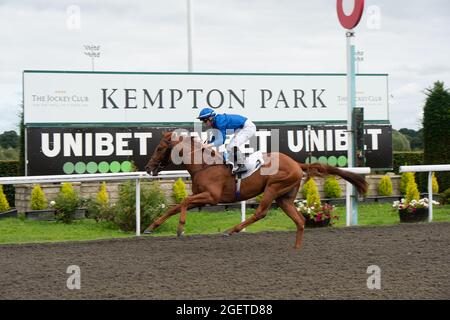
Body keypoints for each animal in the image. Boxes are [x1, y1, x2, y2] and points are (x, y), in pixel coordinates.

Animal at [146, 131, 368, 249]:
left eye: (159, 148)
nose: (148, 168)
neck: (204, 165)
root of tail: (296, 163)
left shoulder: (211, 197)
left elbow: (183, 202)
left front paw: (181, 228)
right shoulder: (198, 196)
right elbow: (174, 207)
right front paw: (151, 227)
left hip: (273, 188)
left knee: (261, 212)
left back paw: (231, 230)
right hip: (284, 197)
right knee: (300, 220)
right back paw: (296, 249)